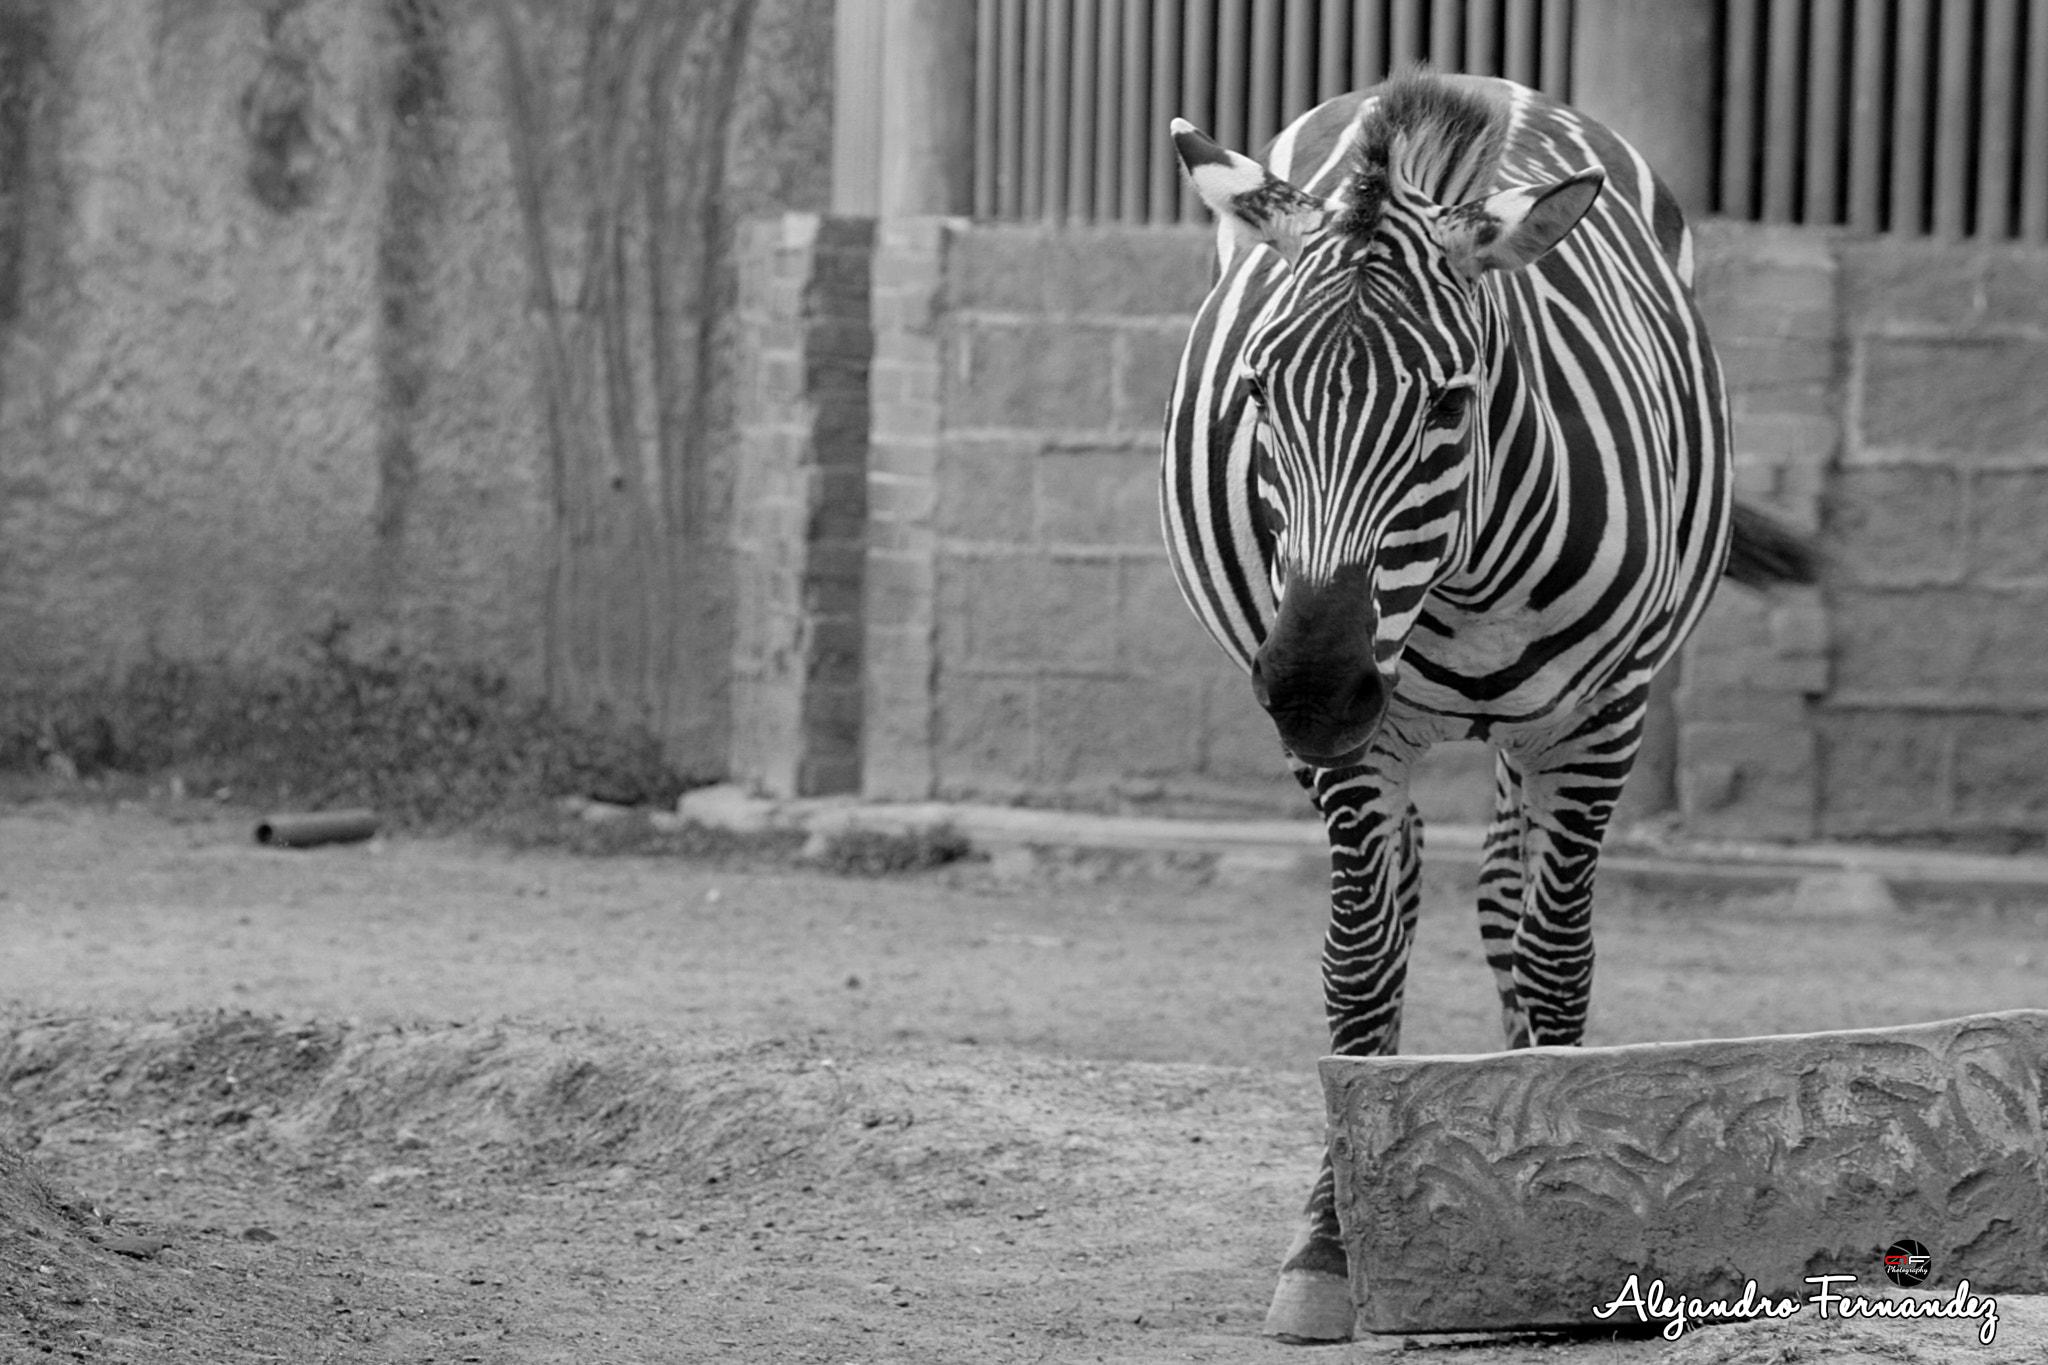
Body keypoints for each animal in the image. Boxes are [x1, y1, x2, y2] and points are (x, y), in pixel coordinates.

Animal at [1161, 70, 1815, 1342]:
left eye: (1447, 406)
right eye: (1259, 391)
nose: (1310, 690)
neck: (1453, 582)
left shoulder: (1599, 716)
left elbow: (1554, 953)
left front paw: (1563, 1198)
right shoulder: (1355, 748)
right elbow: (1359, 961)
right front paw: (1327, 1247)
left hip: (1541, 730)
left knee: (1510, 905)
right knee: (1417, 889)